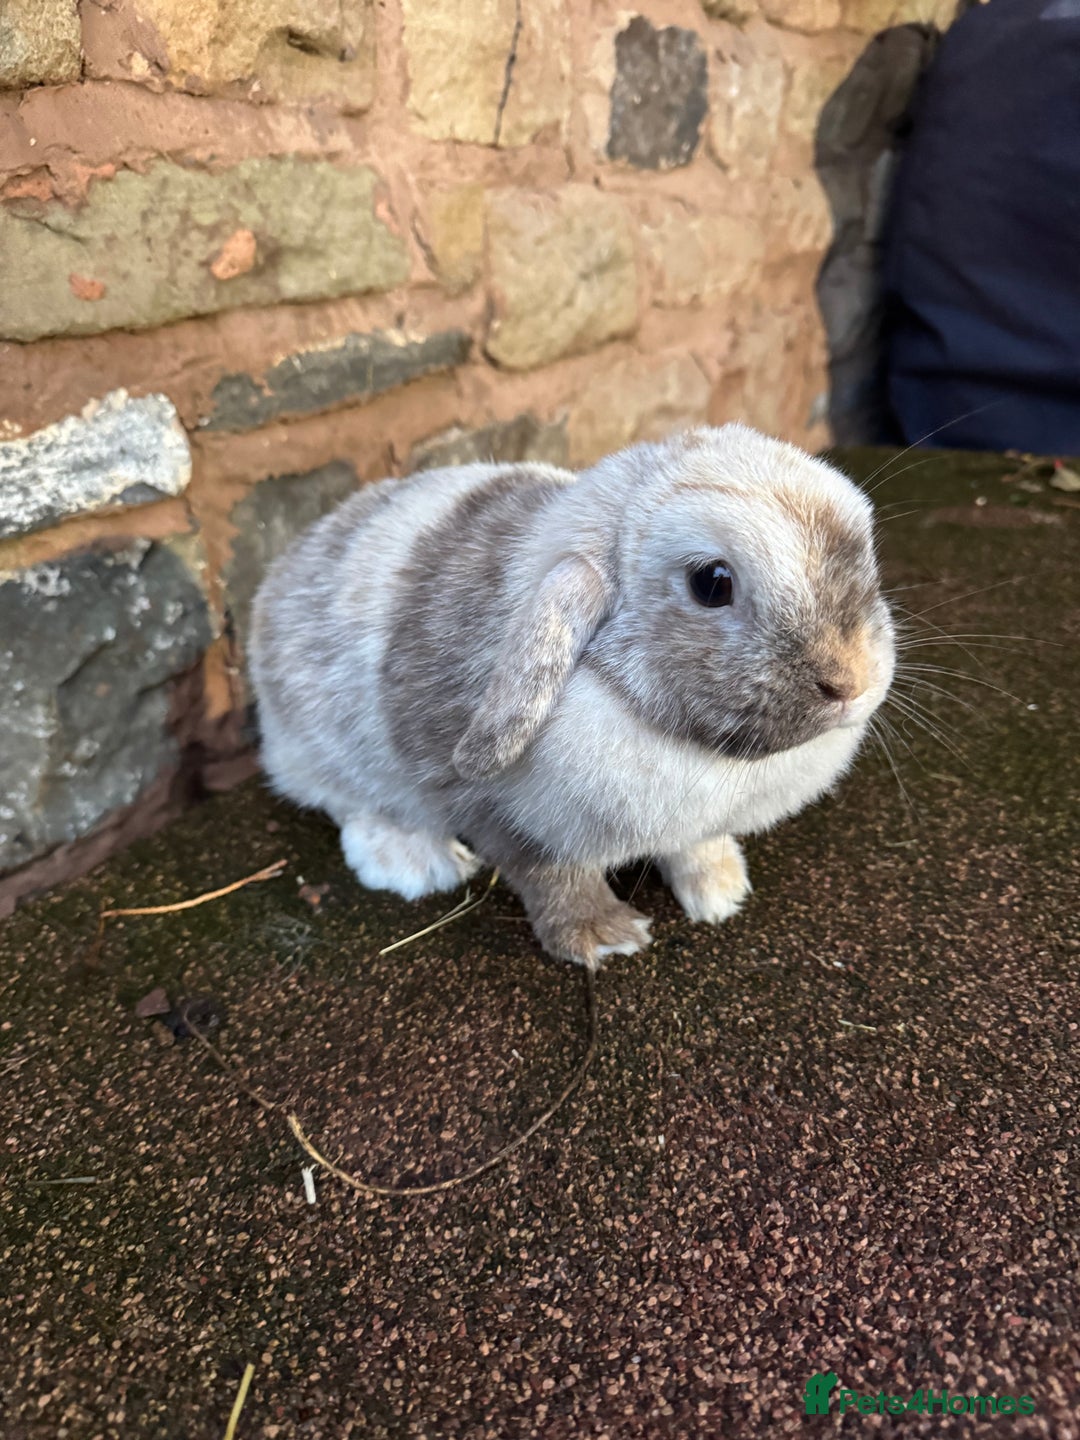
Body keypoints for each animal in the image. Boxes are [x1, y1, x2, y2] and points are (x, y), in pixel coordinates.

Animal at [249, 423, 895, 968]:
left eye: (865, 551)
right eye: (711, 583)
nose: (852, 682)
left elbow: (695, 846)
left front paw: (720, 890)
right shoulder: (498, 812)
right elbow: (549, 873)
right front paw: (603, 938)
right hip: (322, 748)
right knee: (346, 802)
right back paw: (414, 861)